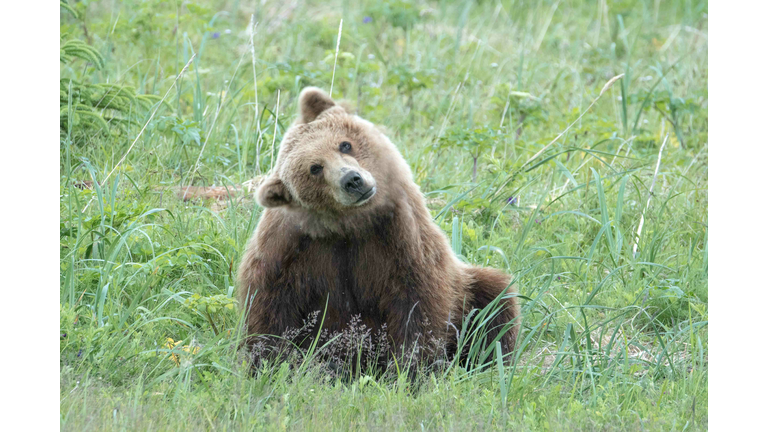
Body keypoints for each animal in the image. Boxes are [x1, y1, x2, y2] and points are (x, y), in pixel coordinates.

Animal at [236, 88, 520, 372]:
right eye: (315, 168)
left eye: (344, 144)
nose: (352, 180)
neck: (349, 226)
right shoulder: (288, 249)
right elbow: (271, 309)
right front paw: (271, 362)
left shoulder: (400, 237)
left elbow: (417, 302)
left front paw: (410, 366)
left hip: (467, 286)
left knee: (494, 298)